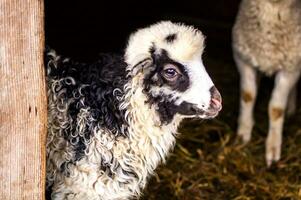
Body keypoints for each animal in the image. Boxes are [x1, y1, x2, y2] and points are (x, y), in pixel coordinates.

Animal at [232, 0, 300, 166]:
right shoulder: (243, 58)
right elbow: (248, 95)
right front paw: (243, 133)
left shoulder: (291, 67)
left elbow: (276, 109)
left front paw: (273, 147)